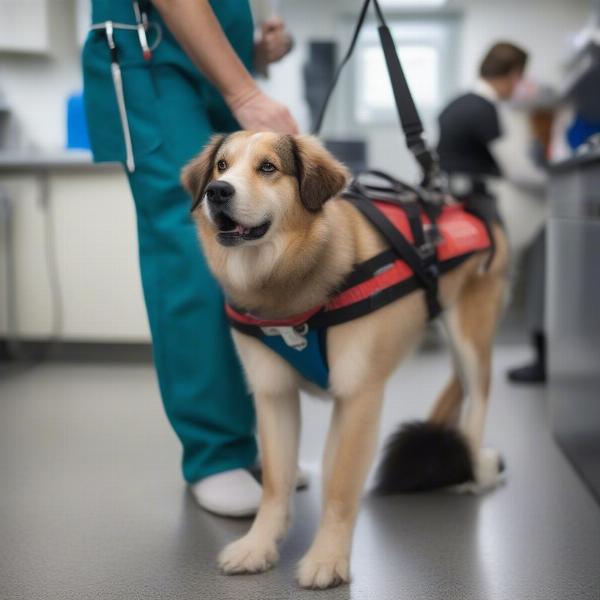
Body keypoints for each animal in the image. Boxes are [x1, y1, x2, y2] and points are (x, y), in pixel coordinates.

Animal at [182, 132, 506, 592]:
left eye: (268, 168)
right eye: (221, 167)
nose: (217, 192)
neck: (284, 289)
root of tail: (456, 201)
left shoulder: (359, 397)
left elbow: (339, 487)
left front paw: (327, 558)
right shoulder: (273, 395)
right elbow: (275, 485)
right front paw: (259, 545)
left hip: (470, 339)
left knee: (476, 402)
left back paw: (474, 471)